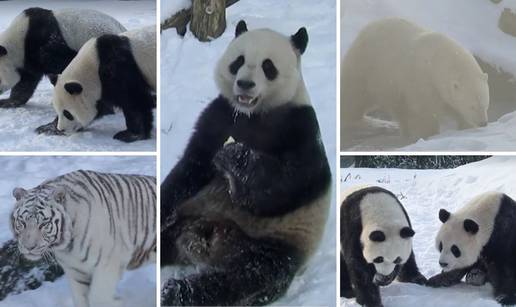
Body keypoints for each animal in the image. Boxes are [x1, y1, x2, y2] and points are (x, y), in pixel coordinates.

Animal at [9, 171, 155, 307]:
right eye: (22, 222)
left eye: (43, 224)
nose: (29, 247)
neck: (67, 247)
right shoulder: (75, 272)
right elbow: (81, 299)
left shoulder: (109, 263)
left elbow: (98, 297)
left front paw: (118, 301)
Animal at [159, 20, 332, 306]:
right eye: (238, 61)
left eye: (268, 66)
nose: (245, 84)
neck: (253, 113)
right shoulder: (220, 115)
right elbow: (192, 166)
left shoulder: (300, 127)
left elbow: (285, 187)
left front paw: (235, 157)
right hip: (191, 215)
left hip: (275, 241)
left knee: (249, 274)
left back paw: (180, 292)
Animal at [340, 16, 490, 142]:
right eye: (472, 106)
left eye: (485, 104)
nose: (483, 123)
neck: (438, 59)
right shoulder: (423, 81)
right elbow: (426, 112)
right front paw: (429, 134)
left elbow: (454, 107)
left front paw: (466, 127)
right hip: (366, 66)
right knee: (353, 95)